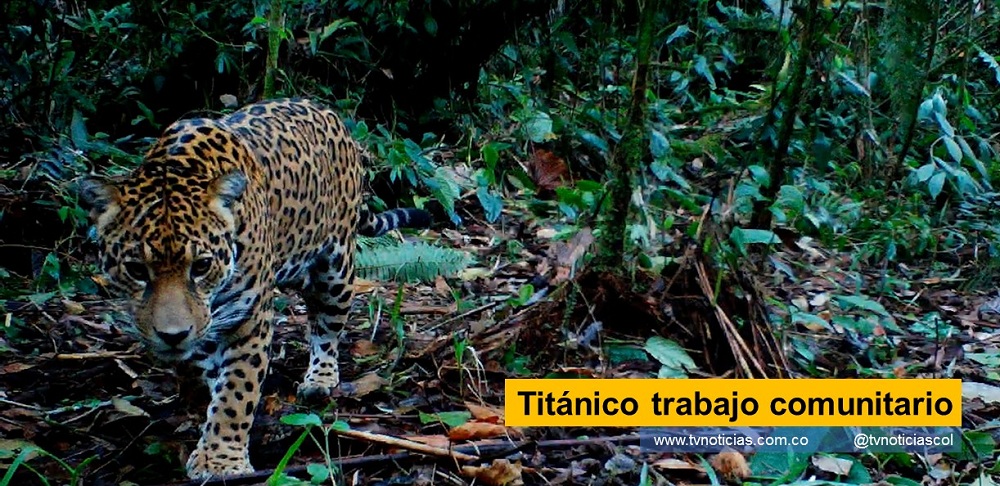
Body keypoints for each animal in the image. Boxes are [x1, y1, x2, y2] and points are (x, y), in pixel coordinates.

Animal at [77, 98, 431, 479]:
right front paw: (201, 406)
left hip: (335, 269)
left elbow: (236, 392)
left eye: (201, 266)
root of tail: (326, 111)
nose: (173, 335)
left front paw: (220, 459)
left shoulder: (248, 318)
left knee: (327, 326)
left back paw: (319, 380)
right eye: (136, 269)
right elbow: (202, 371)